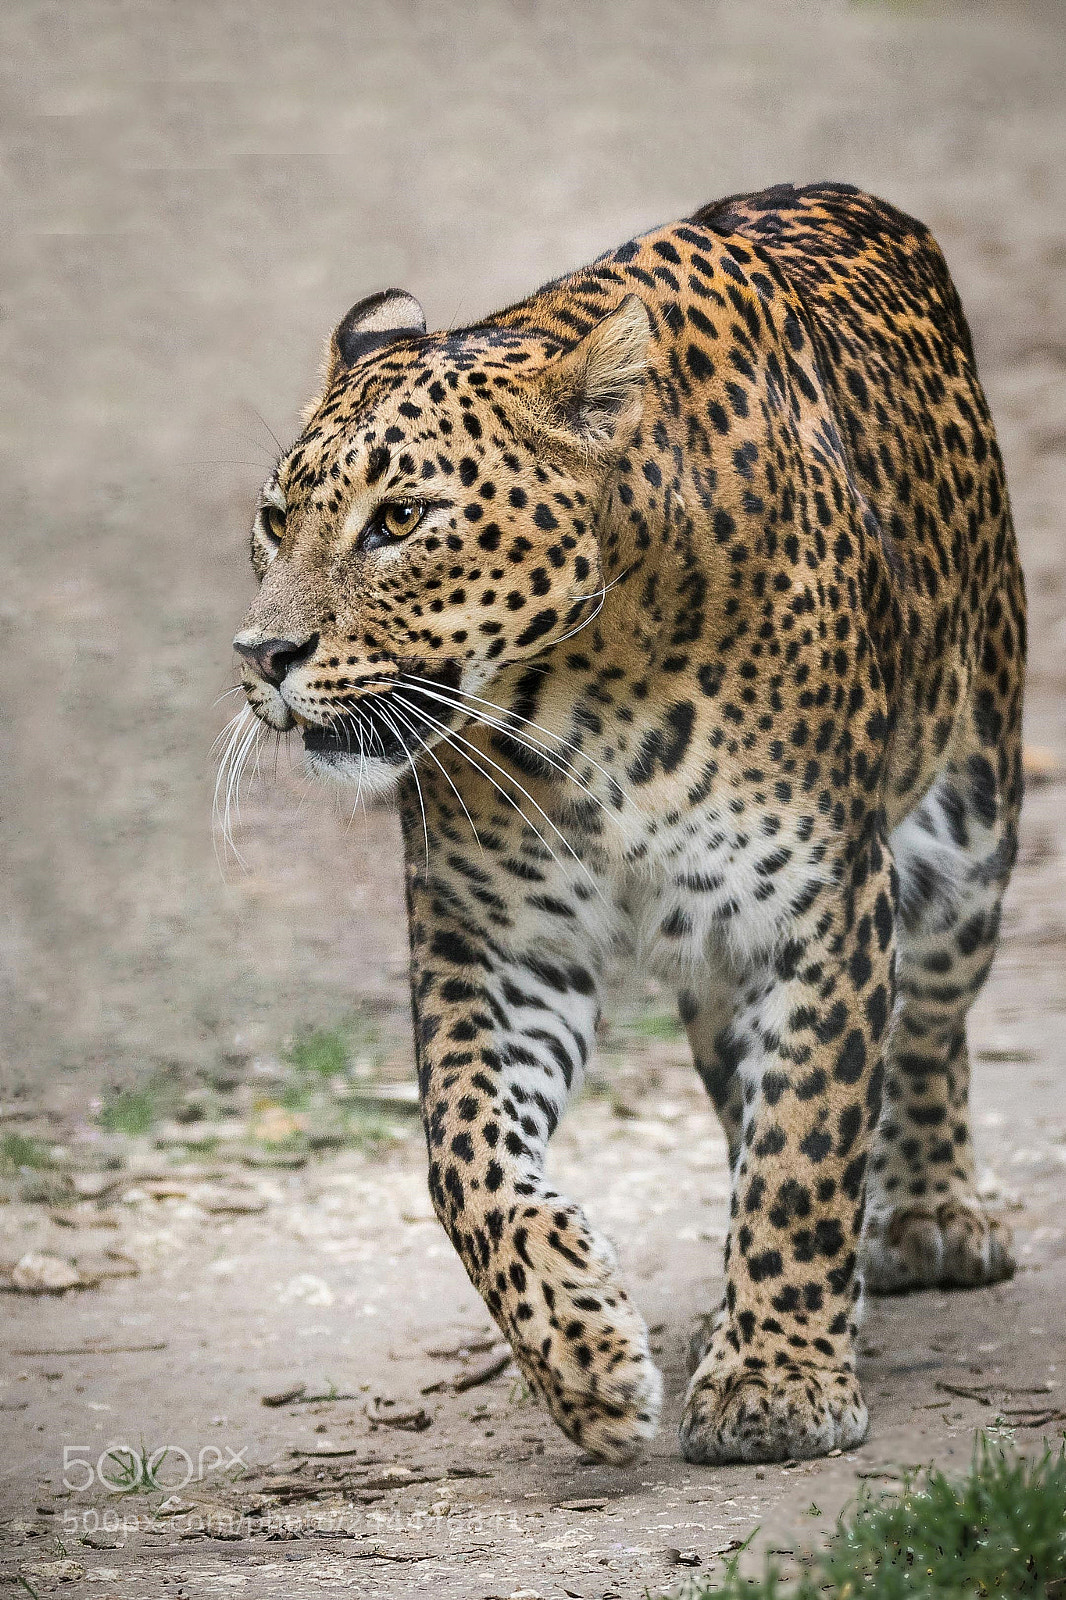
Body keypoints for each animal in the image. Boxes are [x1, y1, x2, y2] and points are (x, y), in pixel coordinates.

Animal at [230, 182, 1025, 1467]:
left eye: (400, 517)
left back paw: (927, 1214)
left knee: (926, 1032)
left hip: (969, 833)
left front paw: (776, 1382)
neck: (574, 702)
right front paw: (580, 1350)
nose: (262, 656)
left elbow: (808, 1139)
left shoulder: (819, 908)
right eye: (272, 517)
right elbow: (465, 1156)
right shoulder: (494, 939)